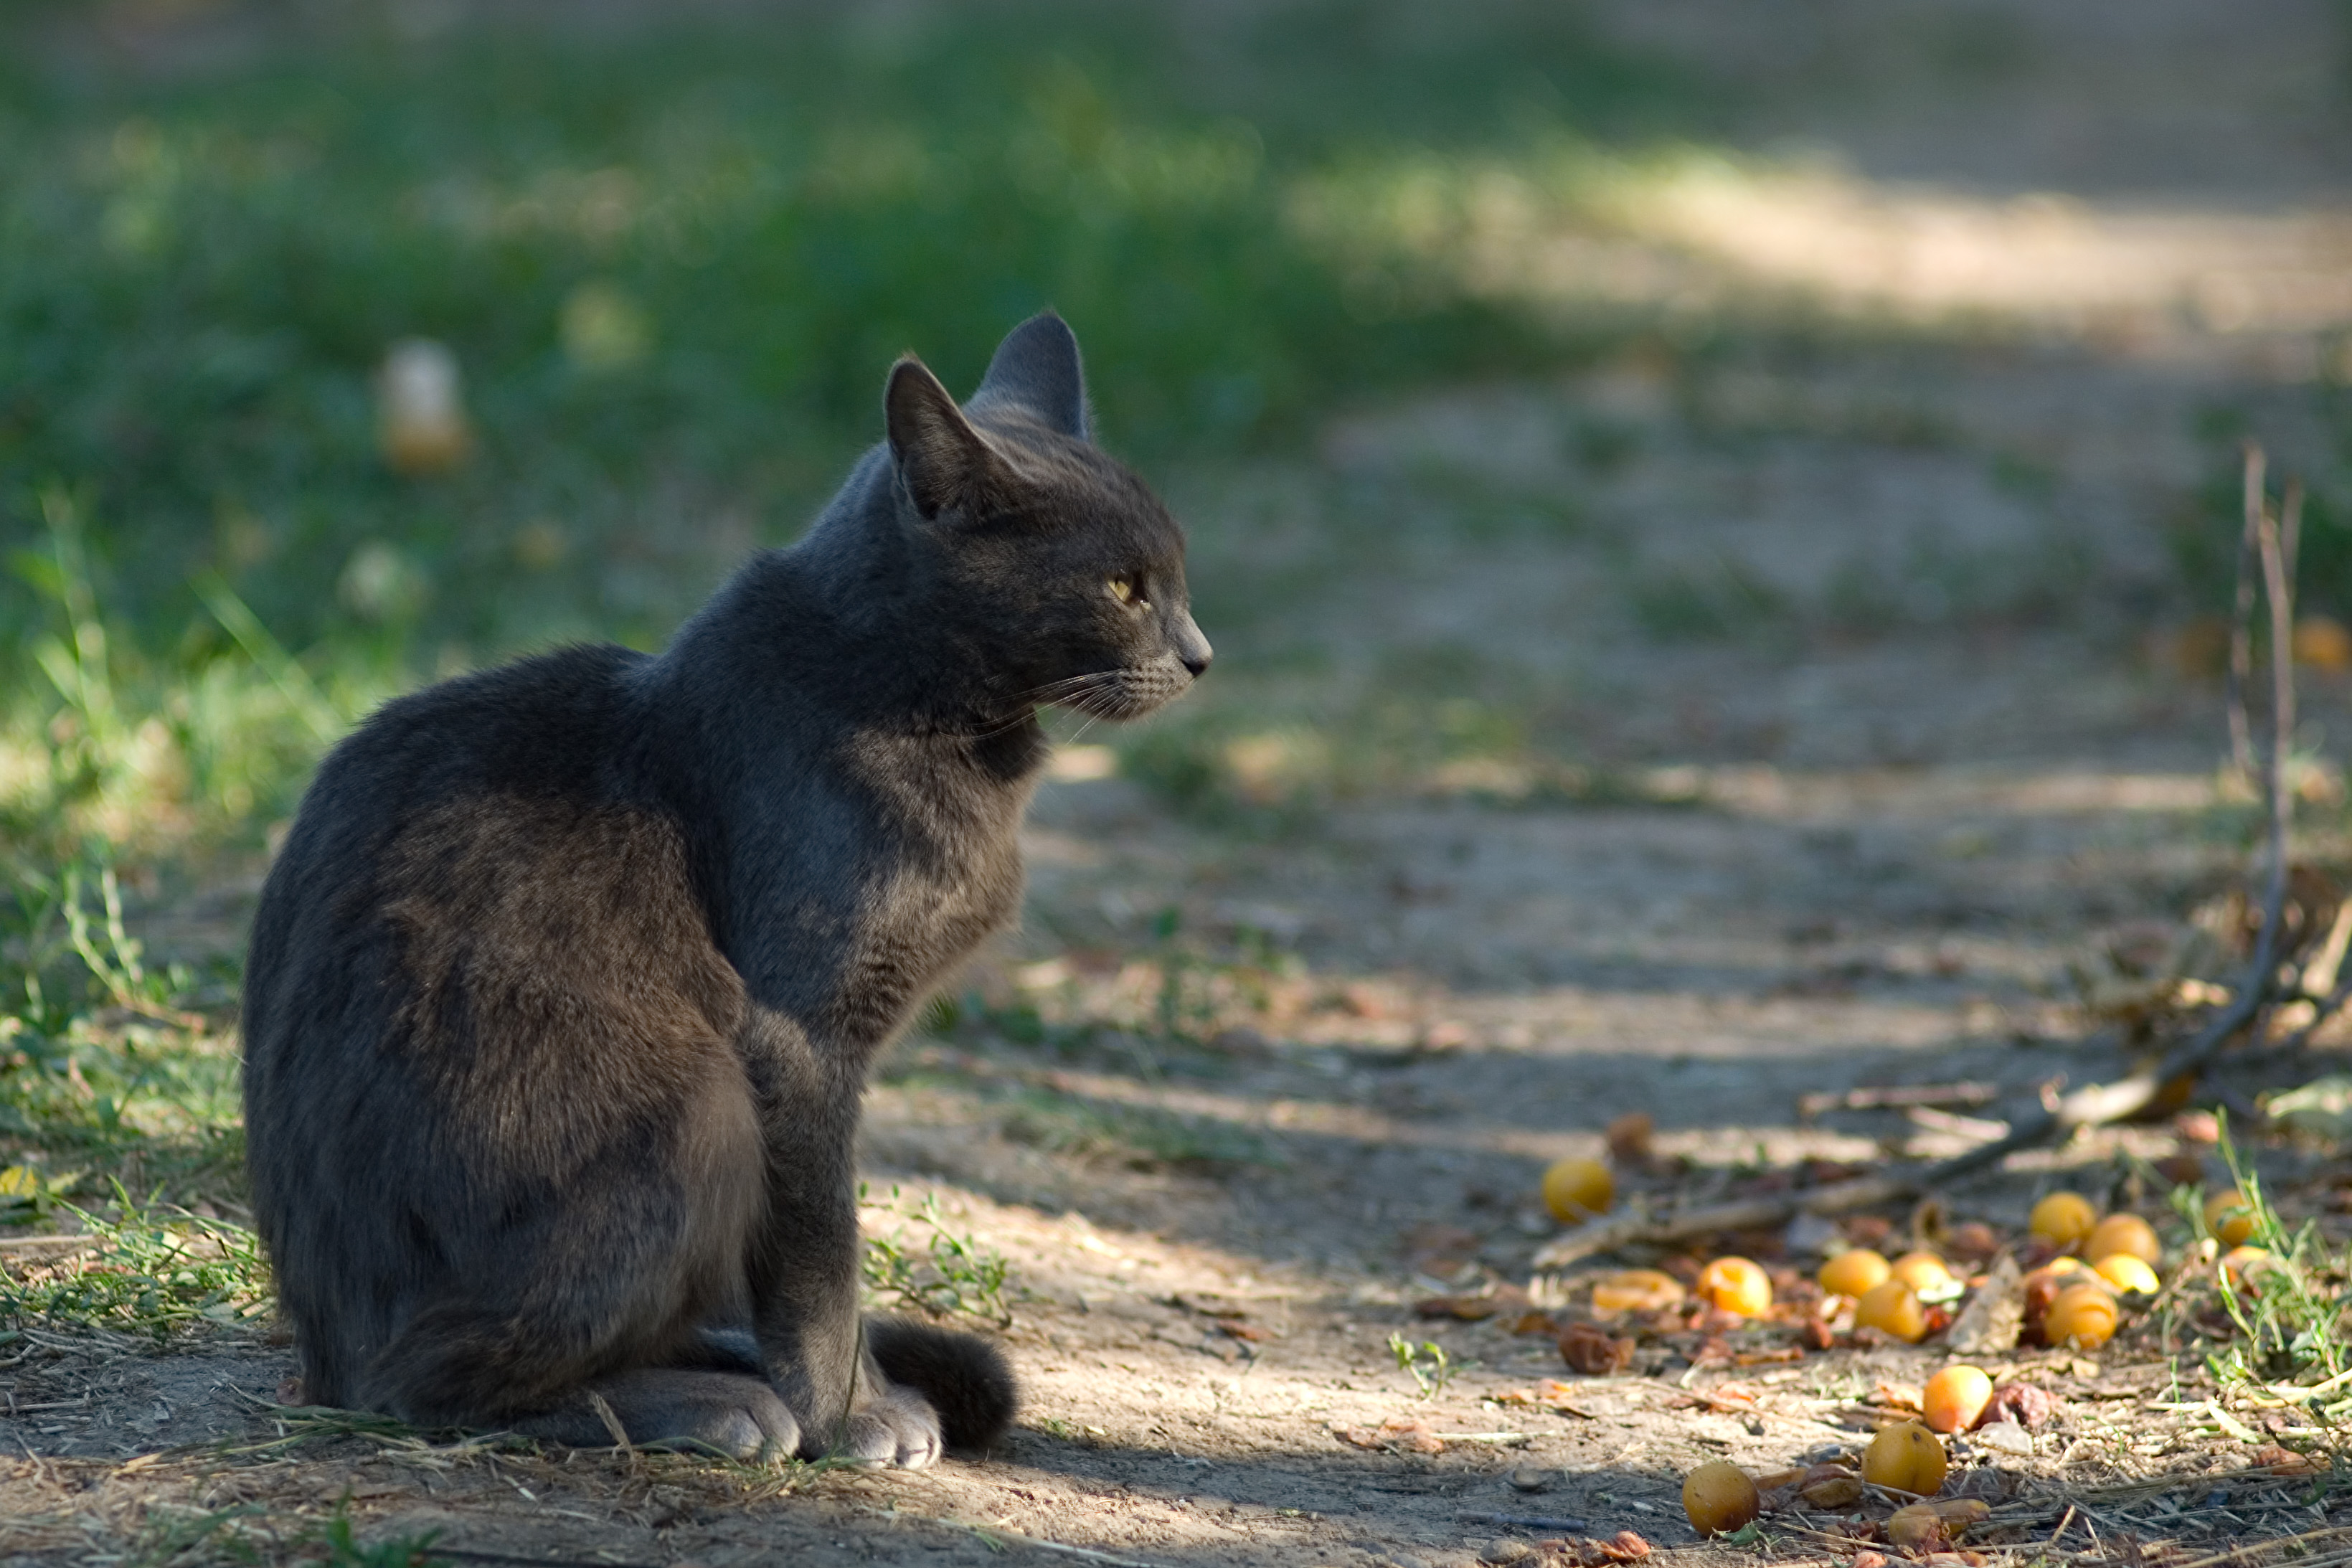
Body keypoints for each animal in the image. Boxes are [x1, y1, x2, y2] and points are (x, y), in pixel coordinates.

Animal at [241, 312, 1213, 1467]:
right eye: (1121, 587)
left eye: (1177, 576)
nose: (1201, 654)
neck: (919, 703)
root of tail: (318, 1344)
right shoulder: (796, 1039)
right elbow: (822, 1255)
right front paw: (845, 1413)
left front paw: (865, 1391)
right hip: (693, 1110)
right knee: (425, 1379)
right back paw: (709, 1404)